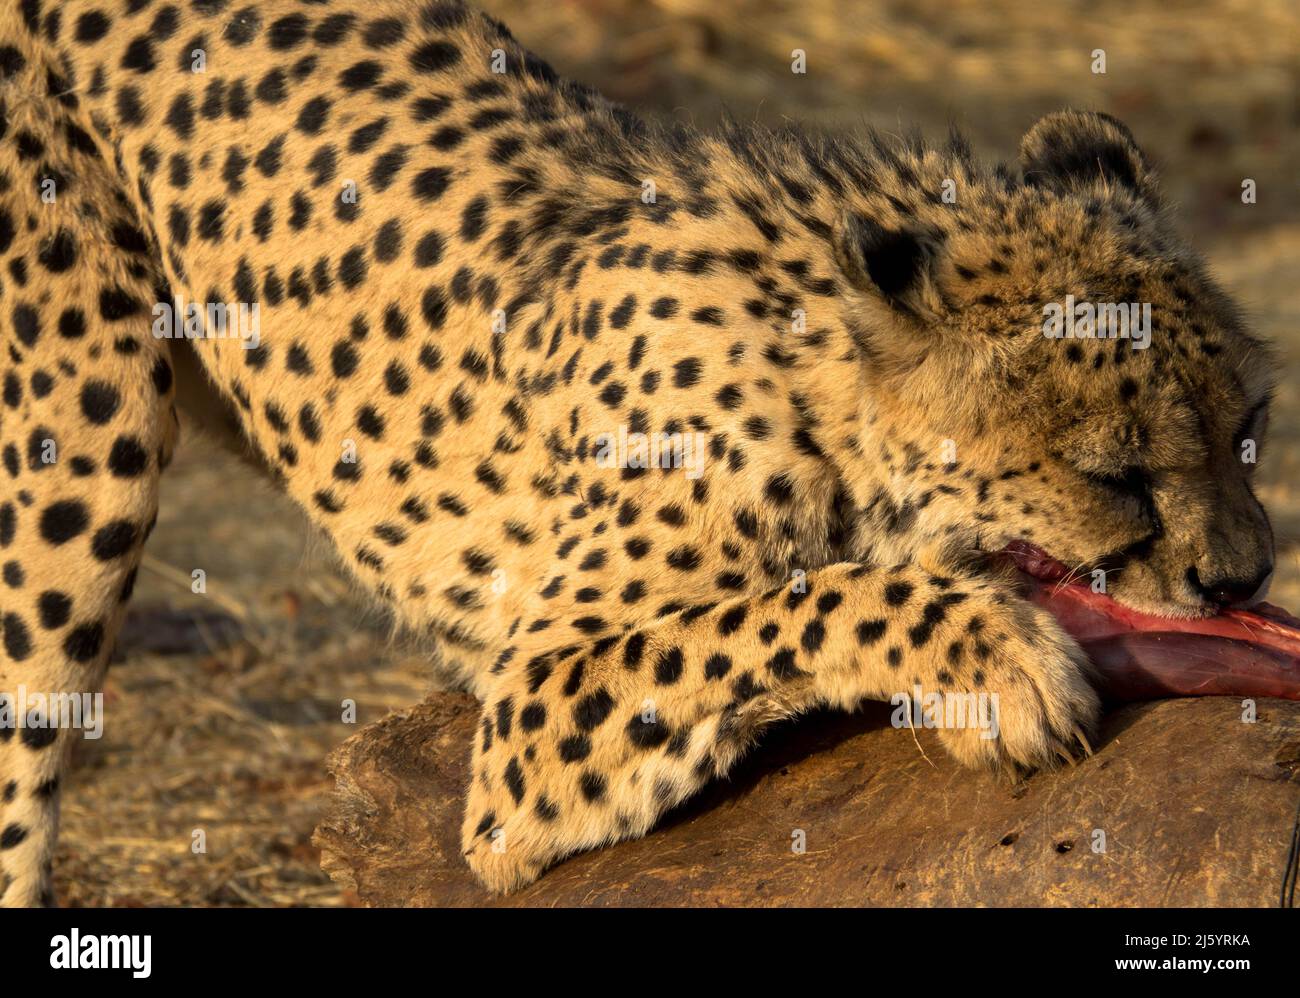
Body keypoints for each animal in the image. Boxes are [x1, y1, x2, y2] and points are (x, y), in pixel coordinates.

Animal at [0, 0, 1279, 904]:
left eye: (1247, 430)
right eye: (1114, 476)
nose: (1243, 580)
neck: (818, 383)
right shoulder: (527, 714)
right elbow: (795, 602)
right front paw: (995, 658)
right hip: (76, 449)